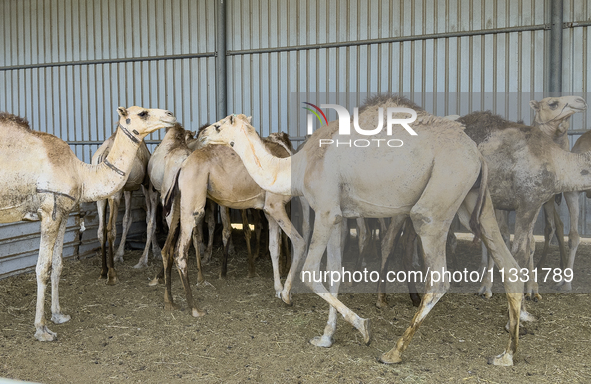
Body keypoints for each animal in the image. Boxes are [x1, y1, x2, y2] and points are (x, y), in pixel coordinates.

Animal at [92, 130, 151, 284]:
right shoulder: (145, 183)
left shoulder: (128, 188)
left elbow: (127, 219)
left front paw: (120, 255)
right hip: (115, 194)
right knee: (111, 229)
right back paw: (112, 275)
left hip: (100, 196)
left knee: (101, 230)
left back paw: (103, 272)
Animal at [158, 130, 306, 316]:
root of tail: (183, 165)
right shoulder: (275, 205)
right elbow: (299, 242)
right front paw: (287, 296)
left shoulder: (269, 210)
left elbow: (274, 248)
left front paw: (278, 290)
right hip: (194, 202)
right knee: (180, 252)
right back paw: (195, 308)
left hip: (178, 200)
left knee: (167, 249)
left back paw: (170, 302)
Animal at [202, 96, 524, 366]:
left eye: (219, 124)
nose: (202, 133)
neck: (299, 164)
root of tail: (477, 153)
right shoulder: (337, 217)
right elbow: (333, 271)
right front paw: (326, 337)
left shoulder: (325, 210)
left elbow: (311, 271)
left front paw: (364, 328)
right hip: (474, 199)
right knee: (508, 263)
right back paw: (507, 355)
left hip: (439, 198)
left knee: (439, 275)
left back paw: (394, 352)